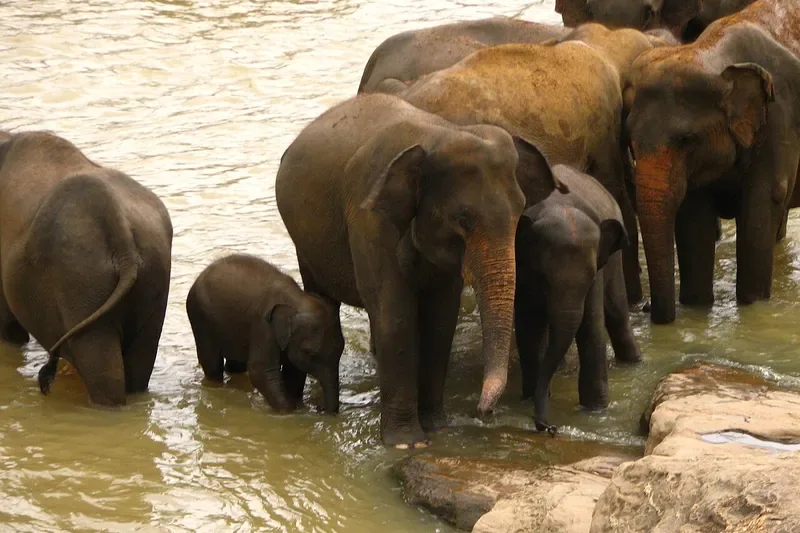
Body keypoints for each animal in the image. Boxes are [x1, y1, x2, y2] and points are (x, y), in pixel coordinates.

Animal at [186, 254, 344, 413]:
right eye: (309, 352)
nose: (320, 408)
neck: (297, 300)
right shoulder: (264, 326)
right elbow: (260, 371)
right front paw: (290, 411)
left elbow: (294, 371)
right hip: (199, 317)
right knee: (212, 364)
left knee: (235, 364)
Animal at [275, 93, 566, 448]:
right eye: (462, 219)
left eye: (520, 211)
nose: (484, 412)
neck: (435, 135)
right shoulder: (369, 218)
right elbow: (395, 311)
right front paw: (406, 443)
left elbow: (441, 316)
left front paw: (438, 429)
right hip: (304, 242)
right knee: (322, 298)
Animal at [516, 164, 641, 433]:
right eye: (542, 276)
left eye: (591, 276)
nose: (548, 427)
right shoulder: (521, 270)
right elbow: (528, 325)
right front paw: (529, 398)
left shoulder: (598, 272)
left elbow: (591, 326)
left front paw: (595, 411)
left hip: (614, 262)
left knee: (617, 314)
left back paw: (634, 363)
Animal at [625, 0, 800, 324]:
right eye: (630, 145)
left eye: (686, 140)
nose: (646, 308)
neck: (710, 54)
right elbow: (694, 218)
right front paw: (695, 305)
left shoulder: (779, 118)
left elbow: (762, 203)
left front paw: (753, 304)